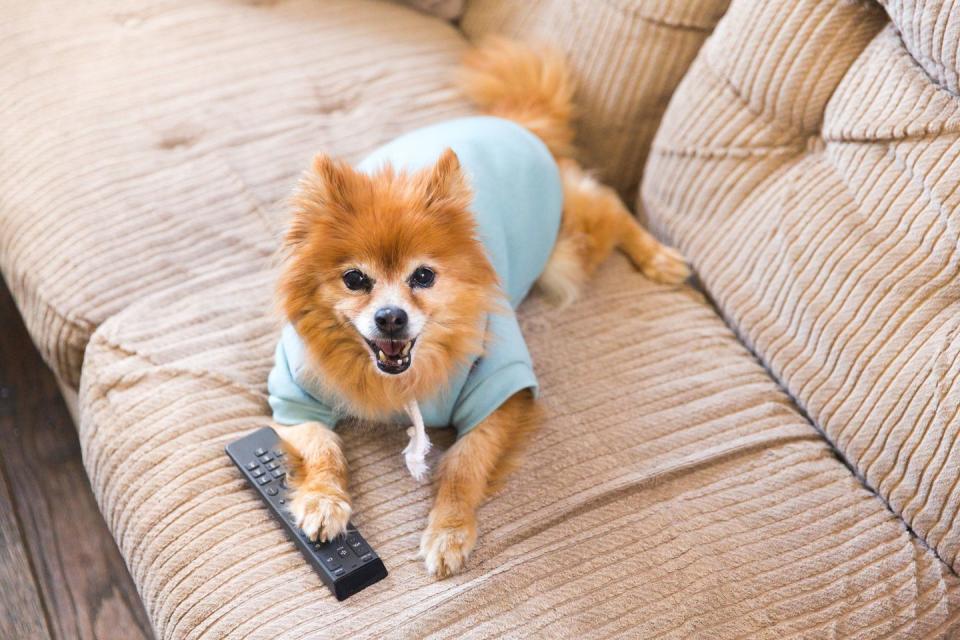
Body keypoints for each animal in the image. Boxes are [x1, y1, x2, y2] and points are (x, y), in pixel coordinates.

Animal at [270, 40, 688, 580]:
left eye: (423, 277)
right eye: (355, 280)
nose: (391, 317)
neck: (399, 381)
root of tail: (518, 121)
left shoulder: (502, 391)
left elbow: (463, 464)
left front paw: (448, 530)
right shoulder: (293, 392)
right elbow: (321, 447)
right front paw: (323, 501)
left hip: (568, 251)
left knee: (614, 204)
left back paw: (658, 258)